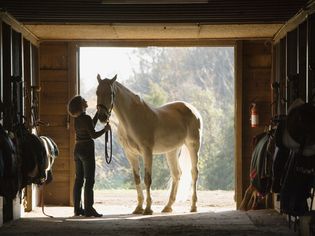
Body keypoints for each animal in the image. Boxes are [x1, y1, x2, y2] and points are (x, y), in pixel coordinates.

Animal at [96, 74, 204, 216]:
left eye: (111, 93)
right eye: (97, 92)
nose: (102, 117)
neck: (132, 119)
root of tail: (192, 109)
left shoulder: (147, 151)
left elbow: (147, 179)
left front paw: (148, 209)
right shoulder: (130, 154)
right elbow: (137, 179)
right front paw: (138, 208)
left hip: (193, 145)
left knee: (194, 172)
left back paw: (193, 206)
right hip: (172, 151)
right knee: (176, 174)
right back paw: (168, 207)